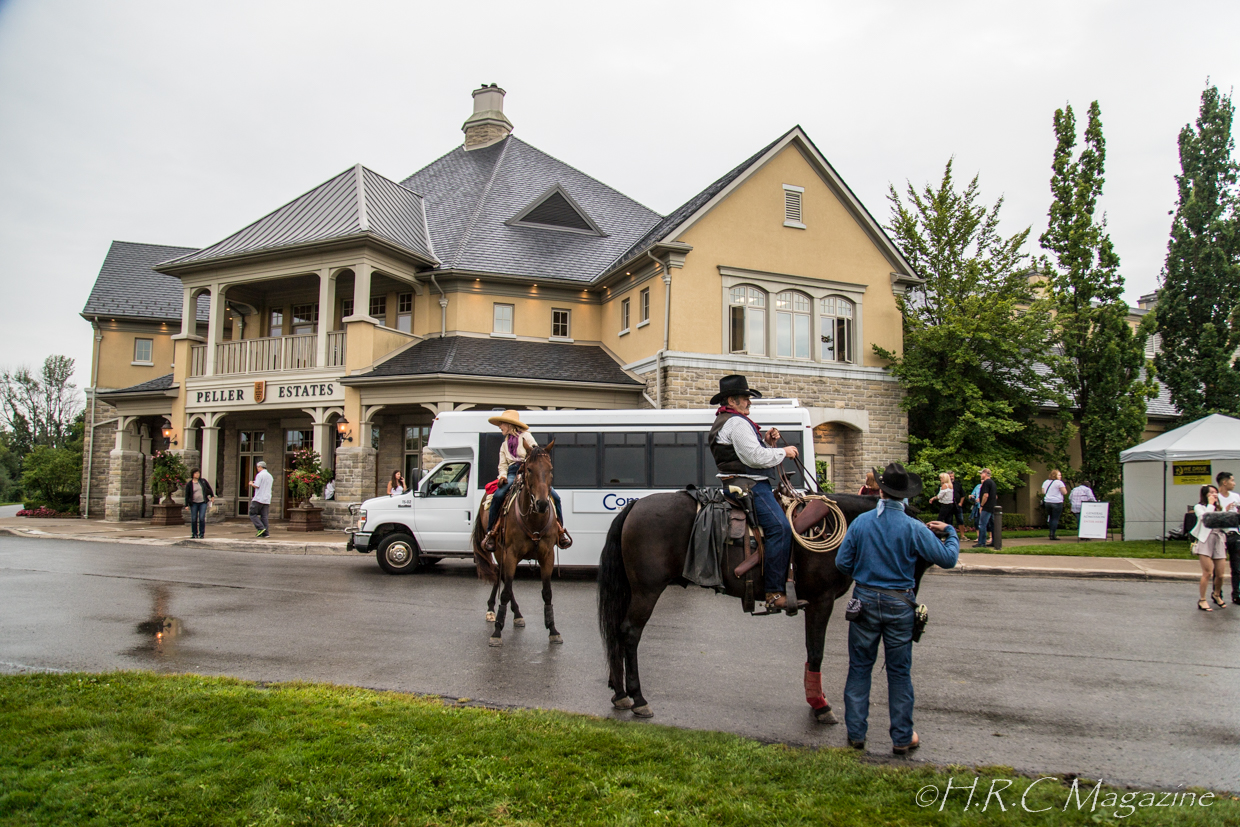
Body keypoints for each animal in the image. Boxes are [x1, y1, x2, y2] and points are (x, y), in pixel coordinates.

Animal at [472, 441, 563, 647]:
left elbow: (547, 592)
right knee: (502, 577)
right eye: (529, 469)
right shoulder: (511, 553)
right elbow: (505, 592)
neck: (534, 520)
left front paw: (553, 630)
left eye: (550, 469)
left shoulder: (547, 555)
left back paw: (516, 614)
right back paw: (495, 611)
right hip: (499, 550)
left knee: (503, 577)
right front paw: (497, 631)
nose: (542, 504)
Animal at [597, 490, 930, 719]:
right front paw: (821, 706)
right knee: (629, 633)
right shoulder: (821, 601)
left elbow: (812, 650)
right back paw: (639, 699)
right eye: (918, 557)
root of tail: (635, 505)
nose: (914, 615)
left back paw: (620, 693)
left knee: (617, 633)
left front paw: (816, 699)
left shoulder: (814, 603)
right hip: (646, 590)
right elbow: (817, 652)